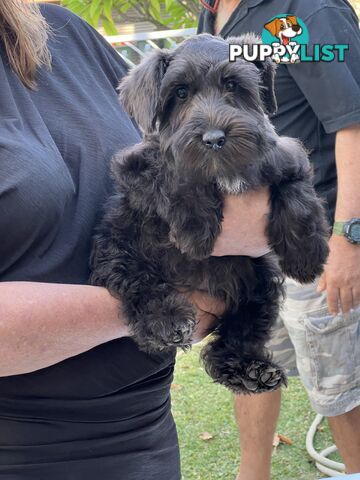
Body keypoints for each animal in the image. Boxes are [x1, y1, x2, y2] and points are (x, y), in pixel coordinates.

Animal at [91, 32, 330, 394]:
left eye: (232, 85)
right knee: (139, 284)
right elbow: (174, 171)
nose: (215, 138)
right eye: (180, 93)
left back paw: (251, 370)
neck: (223, 171)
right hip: (120, 246)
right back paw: (167, 321)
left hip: (261, 282)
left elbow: (296, 190)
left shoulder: (285, 156)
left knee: (234, 339)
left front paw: (306, 255)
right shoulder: (135, 167)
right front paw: (195, 228)